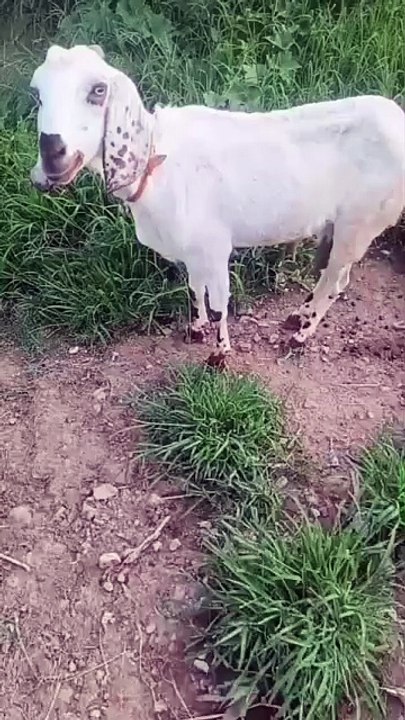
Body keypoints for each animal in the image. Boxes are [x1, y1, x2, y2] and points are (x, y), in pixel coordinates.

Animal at [30, 44, 405, 359]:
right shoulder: (191, 251)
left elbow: (220, 304)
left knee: (337, 279)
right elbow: (195, 290)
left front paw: (219, 355)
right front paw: (195, 330)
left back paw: (300, 334)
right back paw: (297, 318)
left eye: (98, 90)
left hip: (360, 222)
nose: (52, 153)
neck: (157, 164)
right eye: (37, 94)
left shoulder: (214, 247)